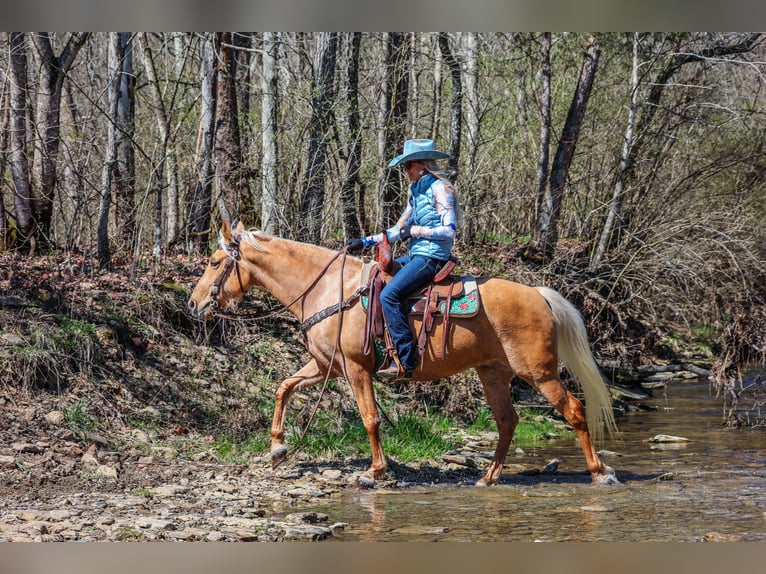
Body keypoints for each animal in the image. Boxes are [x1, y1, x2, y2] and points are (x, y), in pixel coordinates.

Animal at [188, 223, 624, 488]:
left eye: (214, 262)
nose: (193, 303)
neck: (329, 290)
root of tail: (539, 294)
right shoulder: (327, 365)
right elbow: (284, 387)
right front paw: (278, 449)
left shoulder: (355, 369)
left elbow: (369, 418)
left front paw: (374, 472)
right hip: (493, 373)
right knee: (507, 421)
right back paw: (488, 477)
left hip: (539, 373)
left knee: (574, 411)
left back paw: (600, 473)